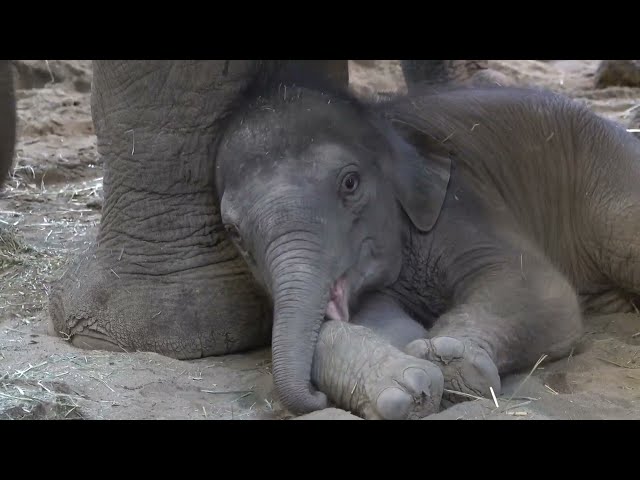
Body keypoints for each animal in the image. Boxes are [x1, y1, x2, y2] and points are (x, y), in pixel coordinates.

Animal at [215, 69, 640, 418]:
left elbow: (538, 289)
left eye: (350, 183)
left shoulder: (461, 202)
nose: (316, 399)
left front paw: (450, 363)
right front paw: (408, 385)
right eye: (233, 231)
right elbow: (382, 320)